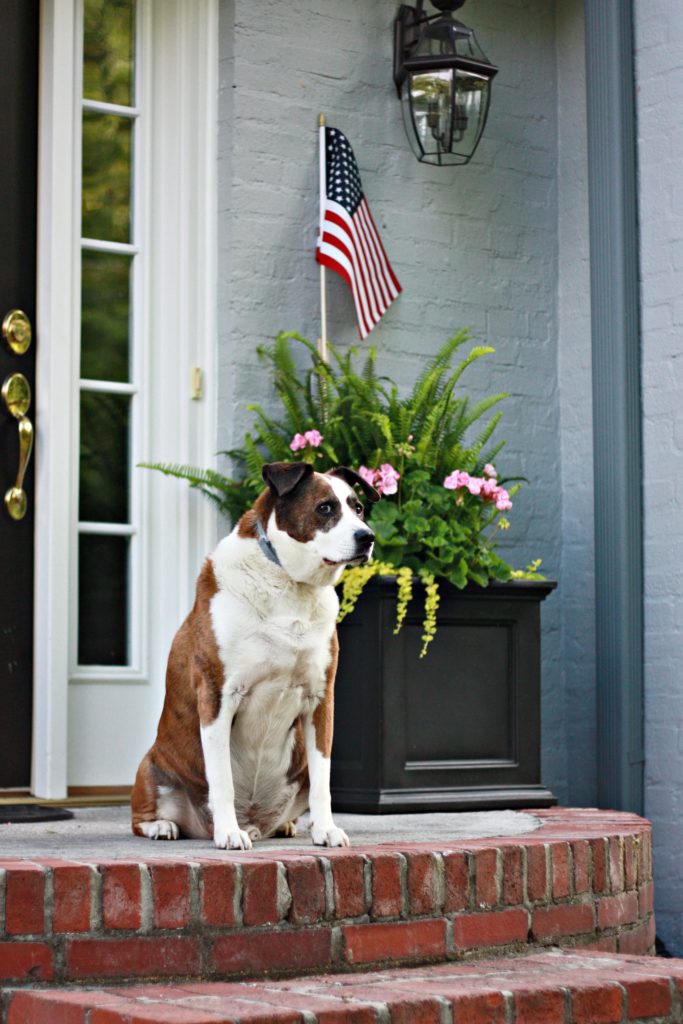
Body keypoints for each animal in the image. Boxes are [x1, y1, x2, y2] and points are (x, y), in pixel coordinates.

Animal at [131, 462, 378, 847]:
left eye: (359, 508)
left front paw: (325, 829)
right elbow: (222, 781)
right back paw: (165, 826)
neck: (289, 583)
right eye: (325, 508)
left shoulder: (321, 700)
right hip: (152, 767)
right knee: (142, 816)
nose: (367, 537)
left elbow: (323, 780)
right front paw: (229, 834)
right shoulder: (218, 696)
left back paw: (285, 825)